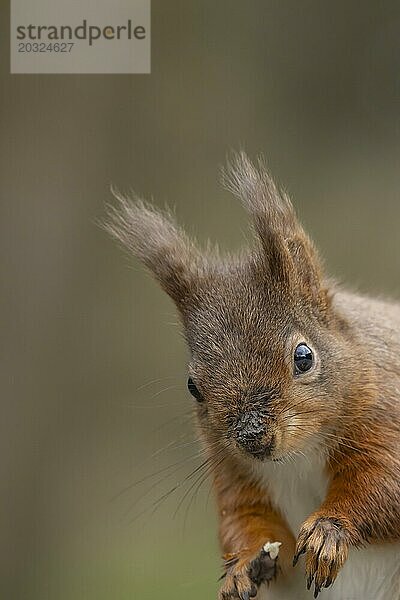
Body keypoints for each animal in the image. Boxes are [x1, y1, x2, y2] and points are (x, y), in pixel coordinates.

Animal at [106, 155, 400, 600]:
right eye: (193, 387)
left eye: (303, 357)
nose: (252, 437)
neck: (297, 456)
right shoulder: (235, 476)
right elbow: (243, 522)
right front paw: (244, 565)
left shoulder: (386, 419)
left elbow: (383, 485)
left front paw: (329, 532)